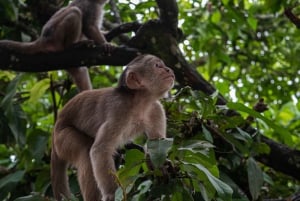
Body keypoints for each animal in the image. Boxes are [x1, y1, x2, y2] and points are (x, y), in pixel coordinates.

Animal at [50, 53, 175, 201]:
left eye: (163, 65)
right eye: (157, 66)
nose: (168, 69)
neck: (140, 102)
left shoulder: (155, 109)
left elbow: (156, 143)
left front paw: (161, 166)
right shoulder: (120, 110)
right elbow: (100, 150)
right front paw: (111, 193)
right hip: (62, 138)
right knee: (85, 149)